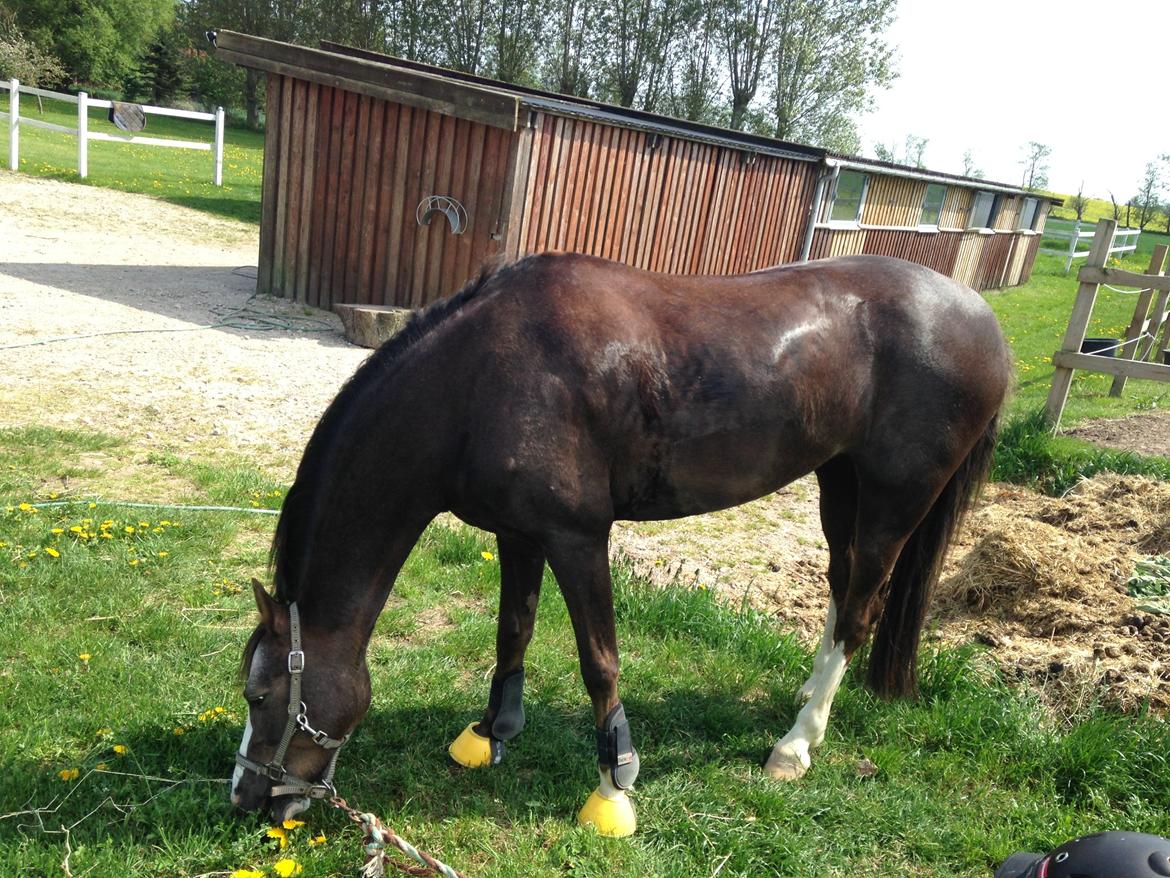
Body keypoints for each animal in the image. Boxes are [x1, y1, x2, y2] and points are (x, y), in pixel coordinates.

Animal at [230, 252, 1010, 837]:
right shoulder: (518, 534)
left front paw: (614, 784)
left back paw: (795, 743)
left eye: (260, 694)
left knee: (861, 606)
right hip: (838, 483)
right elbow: (512, 631)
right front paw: (491, 731)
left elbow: (598, 662)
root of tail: (981, 320)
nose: (246, 797)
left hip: (892, 503)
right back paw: (804, 699)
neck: (480, 377)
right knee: (843, 588)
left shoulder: (577, 537)